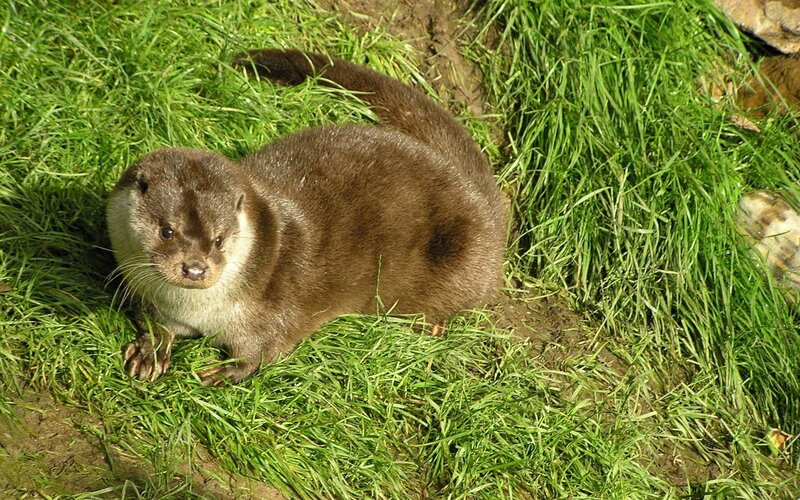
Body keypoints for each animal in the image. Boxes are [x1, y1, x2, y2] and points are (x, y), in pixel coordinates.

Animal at [107, 49, 507, 385]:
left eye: (219, 240)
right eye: (167, 231)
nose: (194, 269)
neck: (200, 312)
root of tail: (478, 196)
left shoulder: (276, 308)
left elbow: (266, 350)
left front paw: (224, 371)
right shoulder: (154, 300)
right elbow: (153, 322)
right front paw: (150, 351)